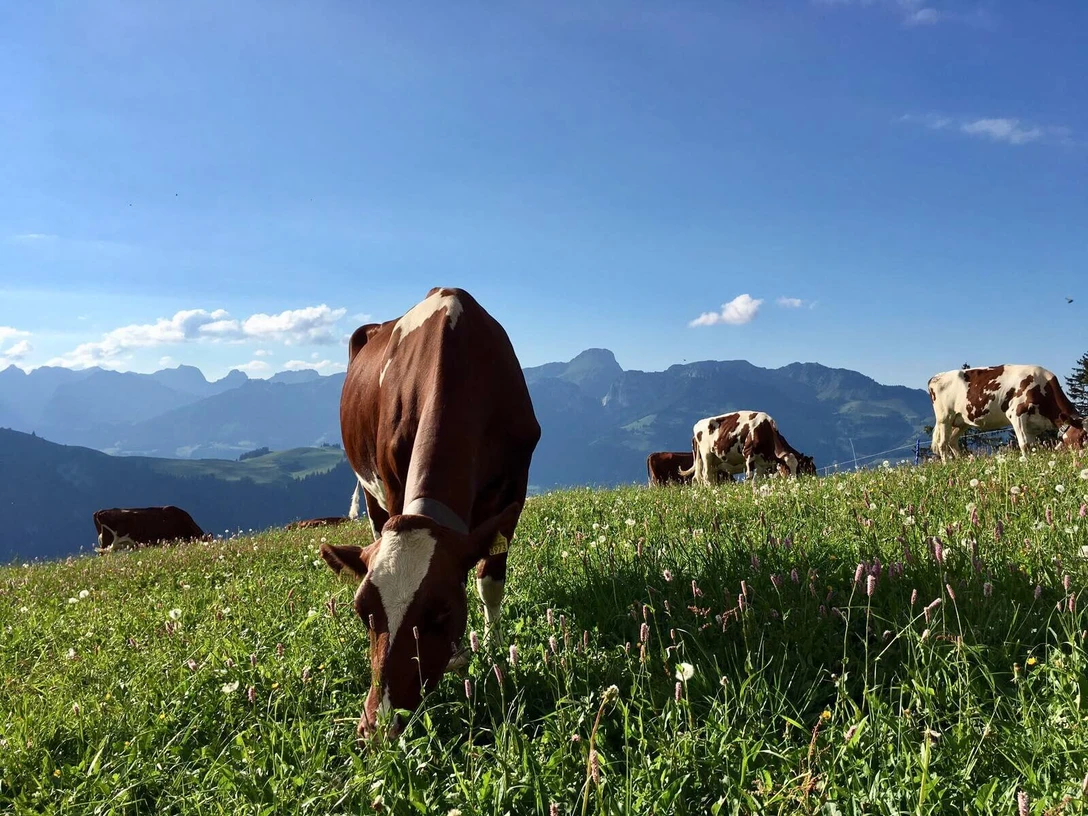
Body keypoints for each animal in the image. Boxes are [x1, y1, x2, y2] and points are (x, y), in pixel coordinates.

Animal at [317, 287, 541, 740]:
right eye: (363, 612)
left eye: (442, 612)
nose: (377, 726)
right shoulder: (390, 478)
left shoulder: (515, 483)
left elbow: (490, 579)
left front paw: (494, 649)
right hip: (370, 488)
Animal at [678, 411, 817, 486]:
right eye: (787, 469)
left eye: (798, 468)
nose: (794, 482)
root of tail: (697, 425)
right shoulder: (749, 453)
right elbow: (749, 476)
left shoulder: (762, 462)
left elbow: (758, 479)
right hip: (706, 454)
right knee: (706, 476)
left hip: (710, 461)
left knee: (699, 477)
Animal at [928, 364, 1086, 459]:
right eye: (1082, 436)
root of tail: (936, 377)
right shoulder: (1016, 413)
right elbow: (1024, 444)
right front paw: (1027, 463)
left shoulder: (1033, 425)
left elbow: (1032, 446)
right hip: (945, 418)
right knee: (942, 443)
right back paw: (948, 464)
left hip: (961, 422)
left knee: (952, 441)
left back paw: (961, 462)